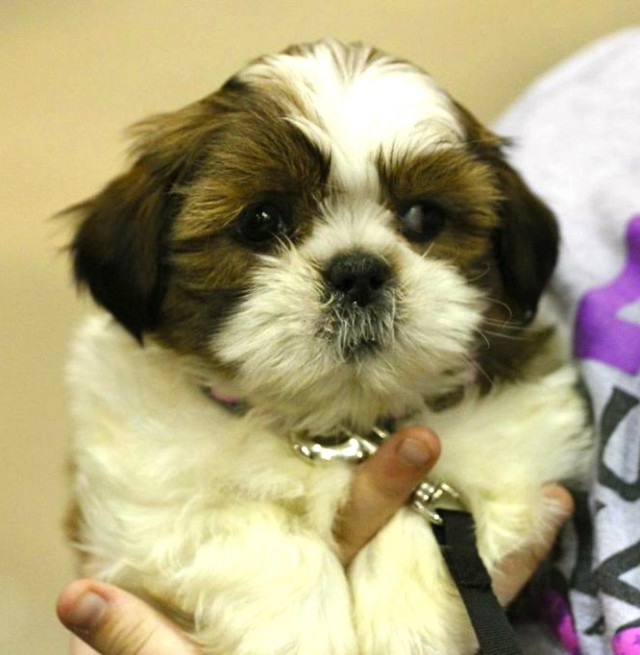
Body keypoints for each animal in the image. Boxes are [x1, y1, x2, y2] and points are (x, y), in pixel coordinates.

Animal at [65, 41, 592, 655]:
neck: (337, 432)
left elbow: (426, 520)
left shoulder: (516, 441)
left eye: (423, 216)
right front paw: (303, 633)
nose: (359, 272)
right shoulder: (147, 497)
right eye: (262, 220)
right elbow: (254, 531)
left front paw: (406, 627)